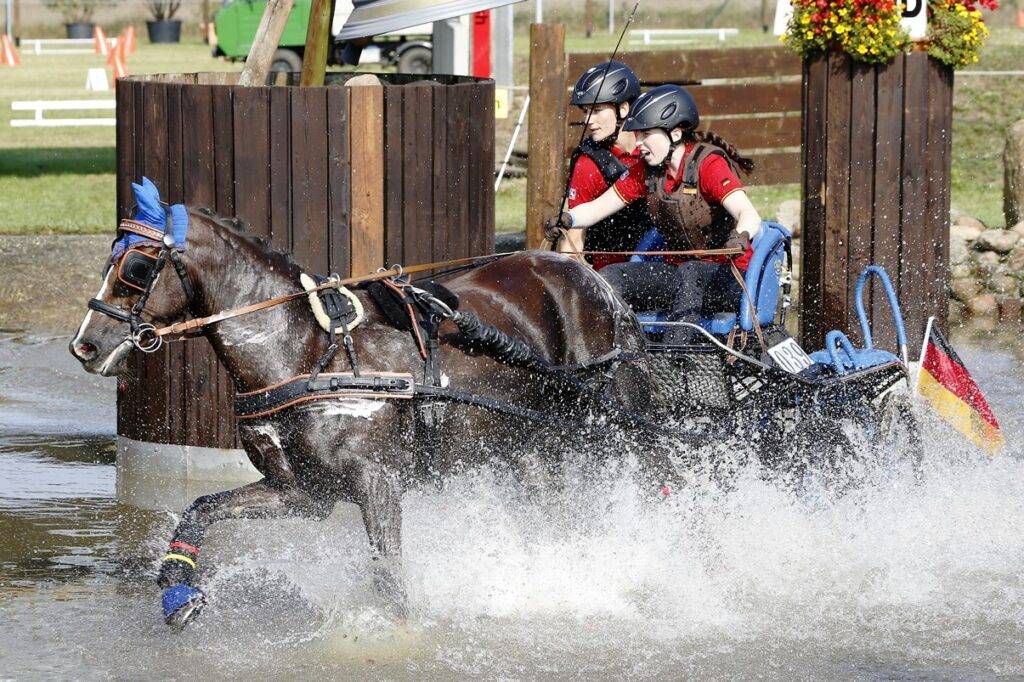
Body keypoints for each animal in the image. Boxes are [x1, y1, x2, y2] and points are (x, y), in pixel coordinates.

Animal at [69, 185, 663, 629]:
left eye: (136, 266)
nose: (85, 345)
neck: (309, 352)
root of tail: (595, 282)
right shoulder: (301, 493)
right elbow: (199, 510)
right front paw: (179, 594)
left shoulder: (377, 483)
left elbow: (389, 578)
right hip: (533, 449)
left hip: (609, 433)